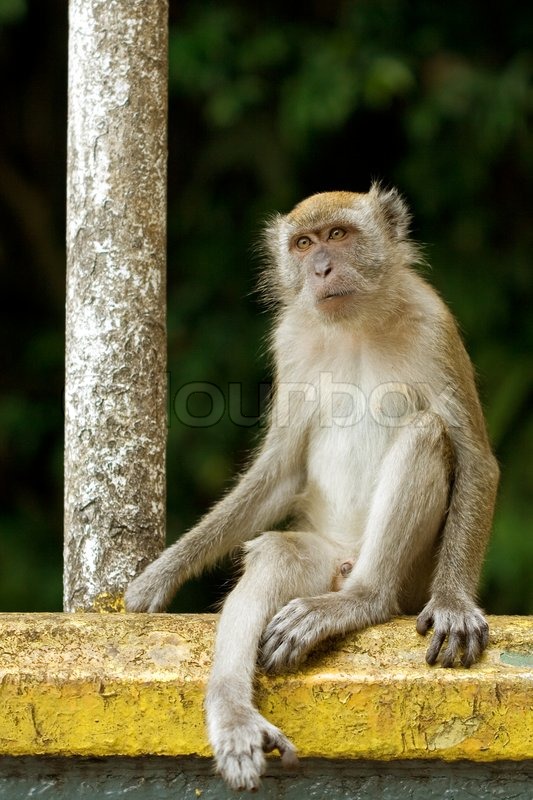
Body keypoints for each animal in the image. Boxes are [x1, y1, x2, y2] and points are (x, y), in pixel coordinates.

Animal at [125, 184, 499, 791]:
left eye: (339, 235)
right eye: (303, 244)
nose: (321, 268)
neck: (356, 324)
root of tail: (347, 564)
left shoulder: (433, 324)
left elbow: (474, 461)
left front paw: (453, 605)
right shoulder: (291, 341)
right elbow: (281, 471)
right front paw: (164, 572)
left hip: (407, 574)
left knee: (425, 433)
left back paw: (358, 601)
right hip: (321, 553)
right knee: (279, 555)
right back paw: (234, 714)